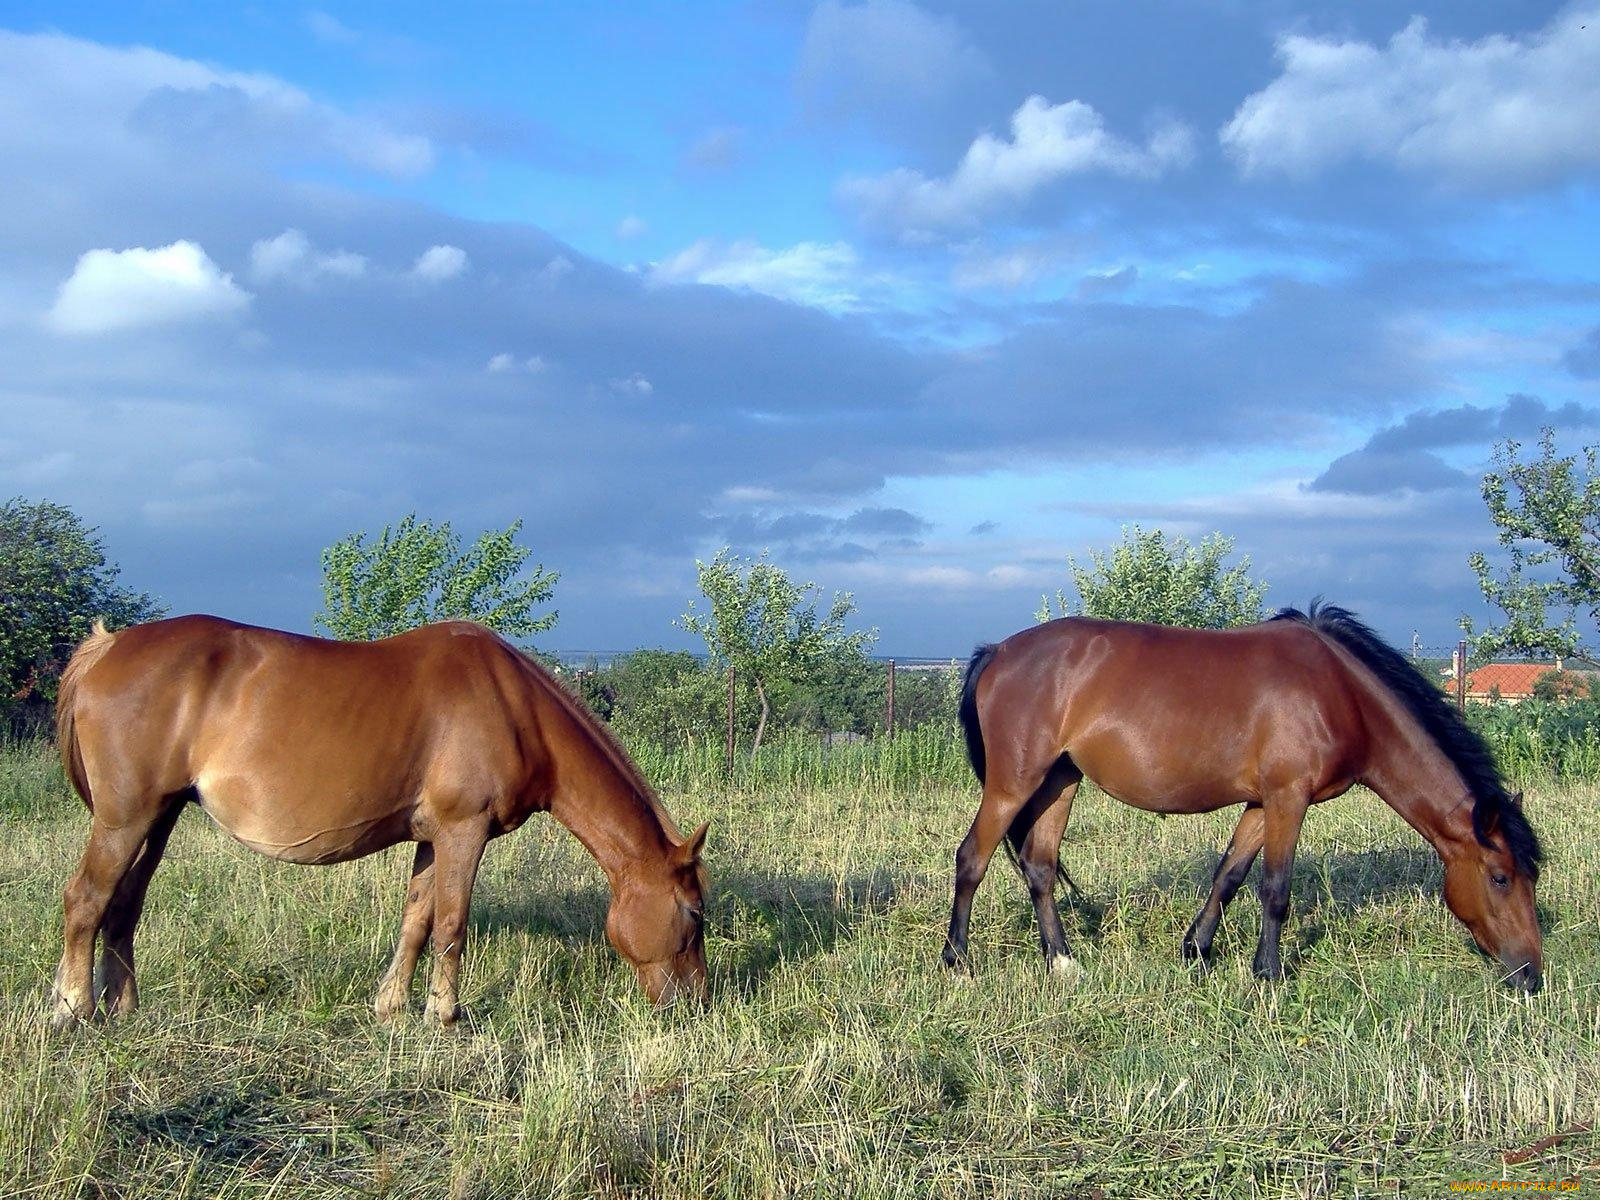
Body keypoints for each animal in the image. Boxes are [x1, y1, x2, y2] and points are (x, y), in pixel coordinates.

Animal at [50, 614, 707, 1030]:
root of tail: (107, 647)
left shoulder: (433, 838)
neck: (517, 709)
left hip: (158, 819)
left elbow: (417, 920)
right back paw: (73, 1008)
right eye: (695, 913)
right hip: (124, 820)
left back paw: (124, 1007)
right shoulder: (464, 832)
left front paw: (392, 1006)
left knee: (124, 906)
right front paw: (445, 1013)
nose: (695, 1002)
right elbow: (451, 924)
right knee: (86, 899)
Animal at [940, 604, 1542, 992]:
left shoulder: (1261, 804)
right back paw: (958, 961)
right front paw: (1268, 975)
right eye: (1501, 878)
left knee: (1039, 866)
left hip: (1059, 781)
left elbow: (1229, 875)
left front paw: (1197, 951)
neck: (1340, 693)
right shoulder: (1288, 799)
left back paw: (1063, 961)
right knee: (972, 858)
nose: (1531, 974)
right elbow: (1275, 888)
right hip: (1013, 784)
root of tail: (997, 652)